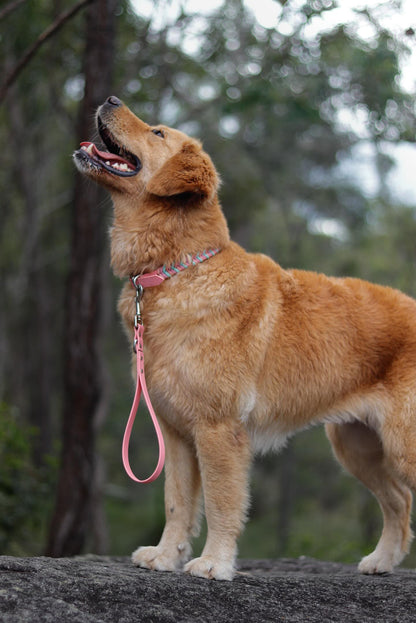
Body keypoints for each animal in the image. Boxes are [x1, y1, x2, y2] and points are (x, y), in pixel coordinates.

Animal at [74, 95, 416, 584]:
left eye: (158, 133)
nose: (110, 99)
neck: (178, 269)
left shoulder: (219, 430)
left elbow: (221, 504)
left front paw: (214, 563)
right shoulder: (177, 434)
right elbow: (177, 504)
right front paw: (165, 555)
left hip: (400, 444)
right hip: (357, 445)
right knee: (398, 502)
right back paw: (382, 561)